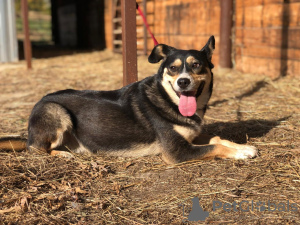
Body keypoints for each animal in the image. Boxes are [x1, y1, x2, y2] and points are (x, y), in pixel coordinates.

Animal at [0, 36, 258, 163]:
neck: (169, 100)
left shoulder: (190, 136)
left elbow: (217, 137)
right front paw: (240, 153)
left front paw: (243, 146)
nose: (183, 82)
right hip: (55, 111)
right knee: (34, 149)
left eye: (196, 65)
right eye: (173, 68)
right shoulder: (176, 152)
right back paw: (61, 154)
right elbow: (214, 146)